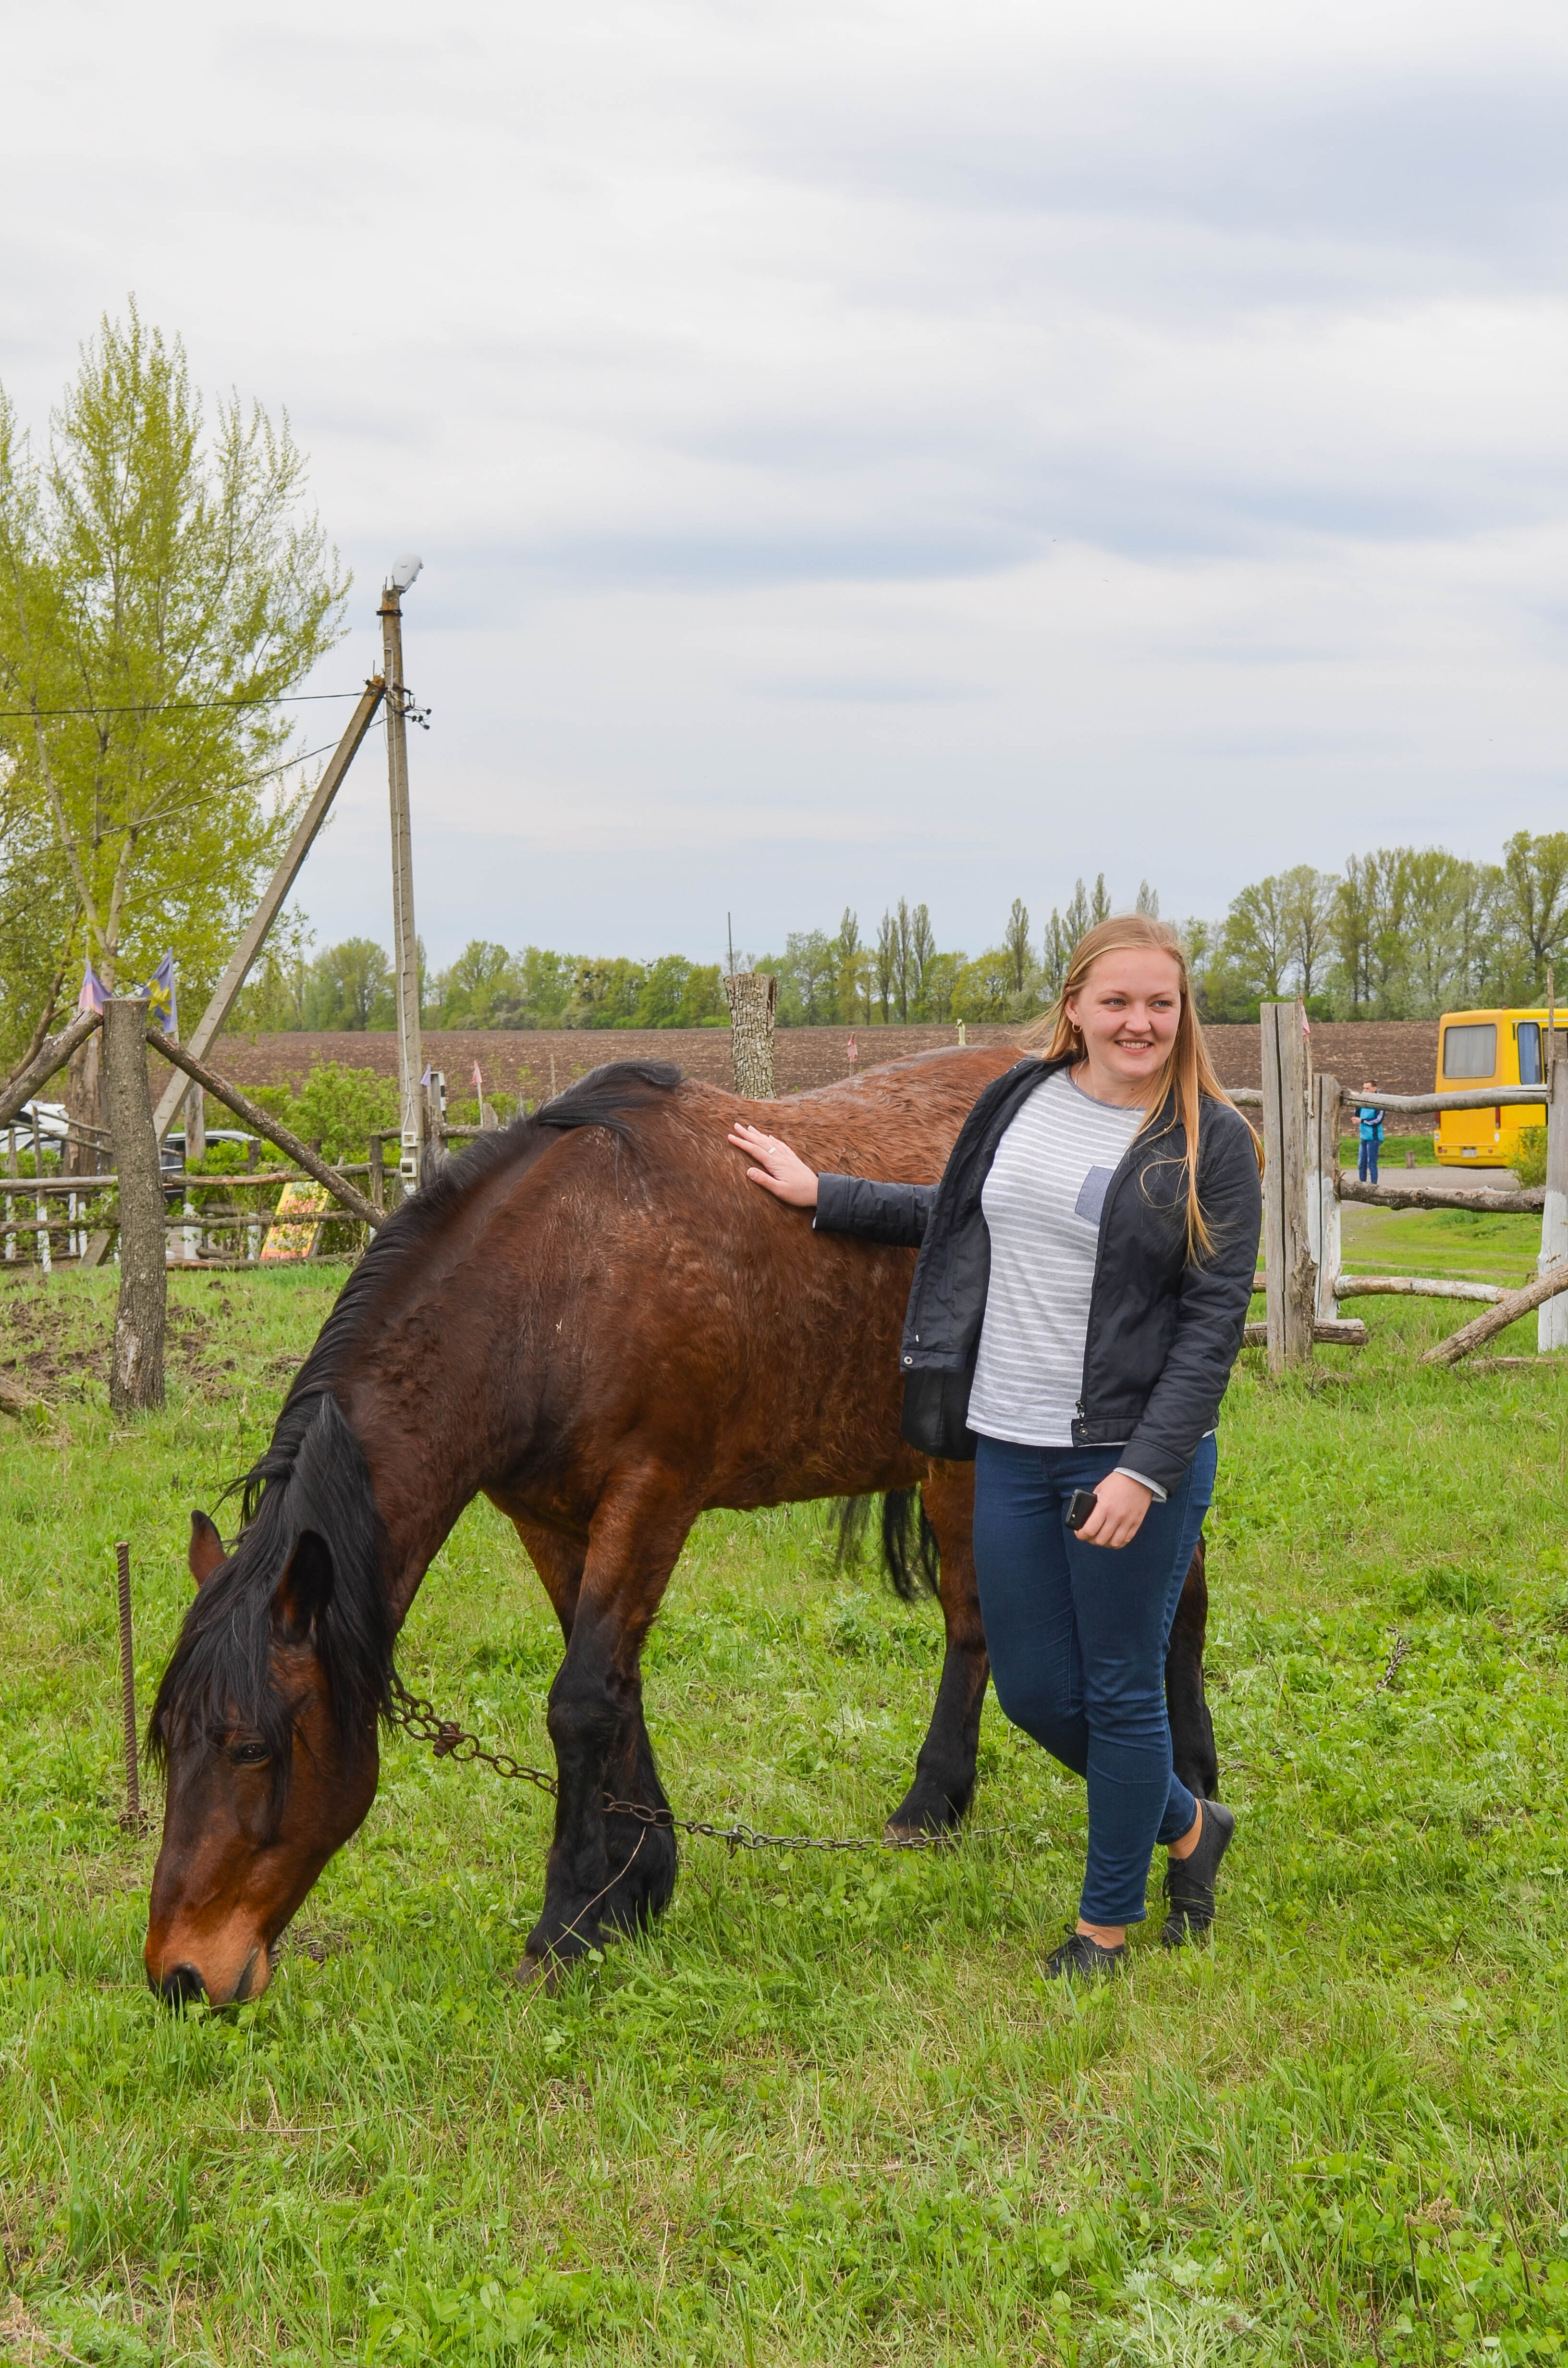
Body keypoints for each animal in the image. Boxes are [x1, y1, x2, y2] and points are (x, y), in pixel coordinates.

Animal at [145, 1049, 1218, 2004]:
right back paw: (936, 1809)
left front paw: (568, 1923)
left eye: (251, 1747)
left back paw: (1184, 1800)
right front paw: (634, 1886)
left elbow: (580, 1701)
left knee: (1161, 1611)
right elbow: (614, 1690)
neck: (554, 1285)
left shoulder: (651, 1495)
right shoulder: (551, 1519)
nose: (182, 1976)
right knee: (976, 1621)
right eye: (170, 1746)